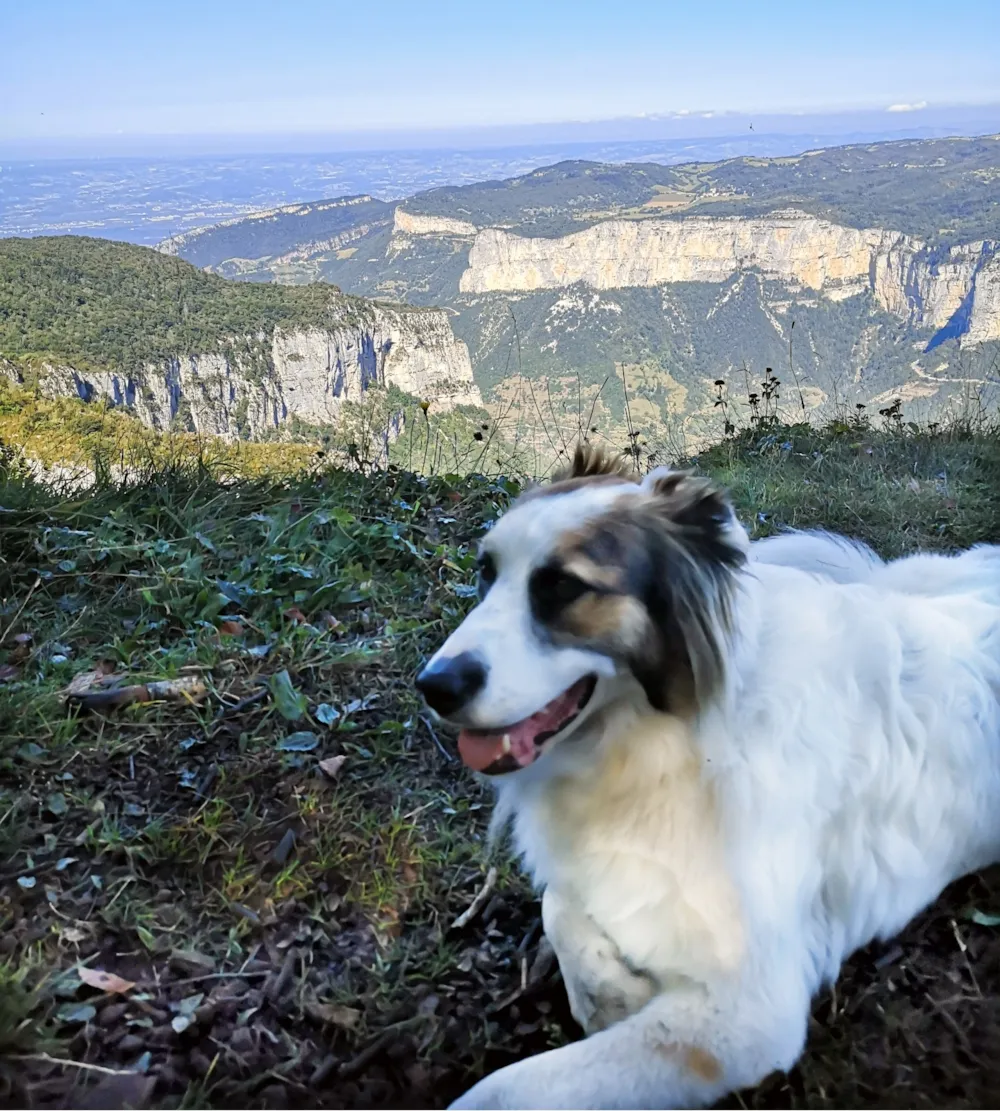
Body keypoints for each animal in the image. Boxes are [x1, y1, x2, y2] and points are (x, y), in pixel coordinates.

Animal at [415, 446, 1000, 1106]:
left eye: (563, 587)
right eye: (486, 575)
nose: (433, 686)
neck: (667, 740)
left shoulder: (745, 1015)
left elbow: (500, 1090)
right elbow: (559, 903)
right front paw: (611, 995)